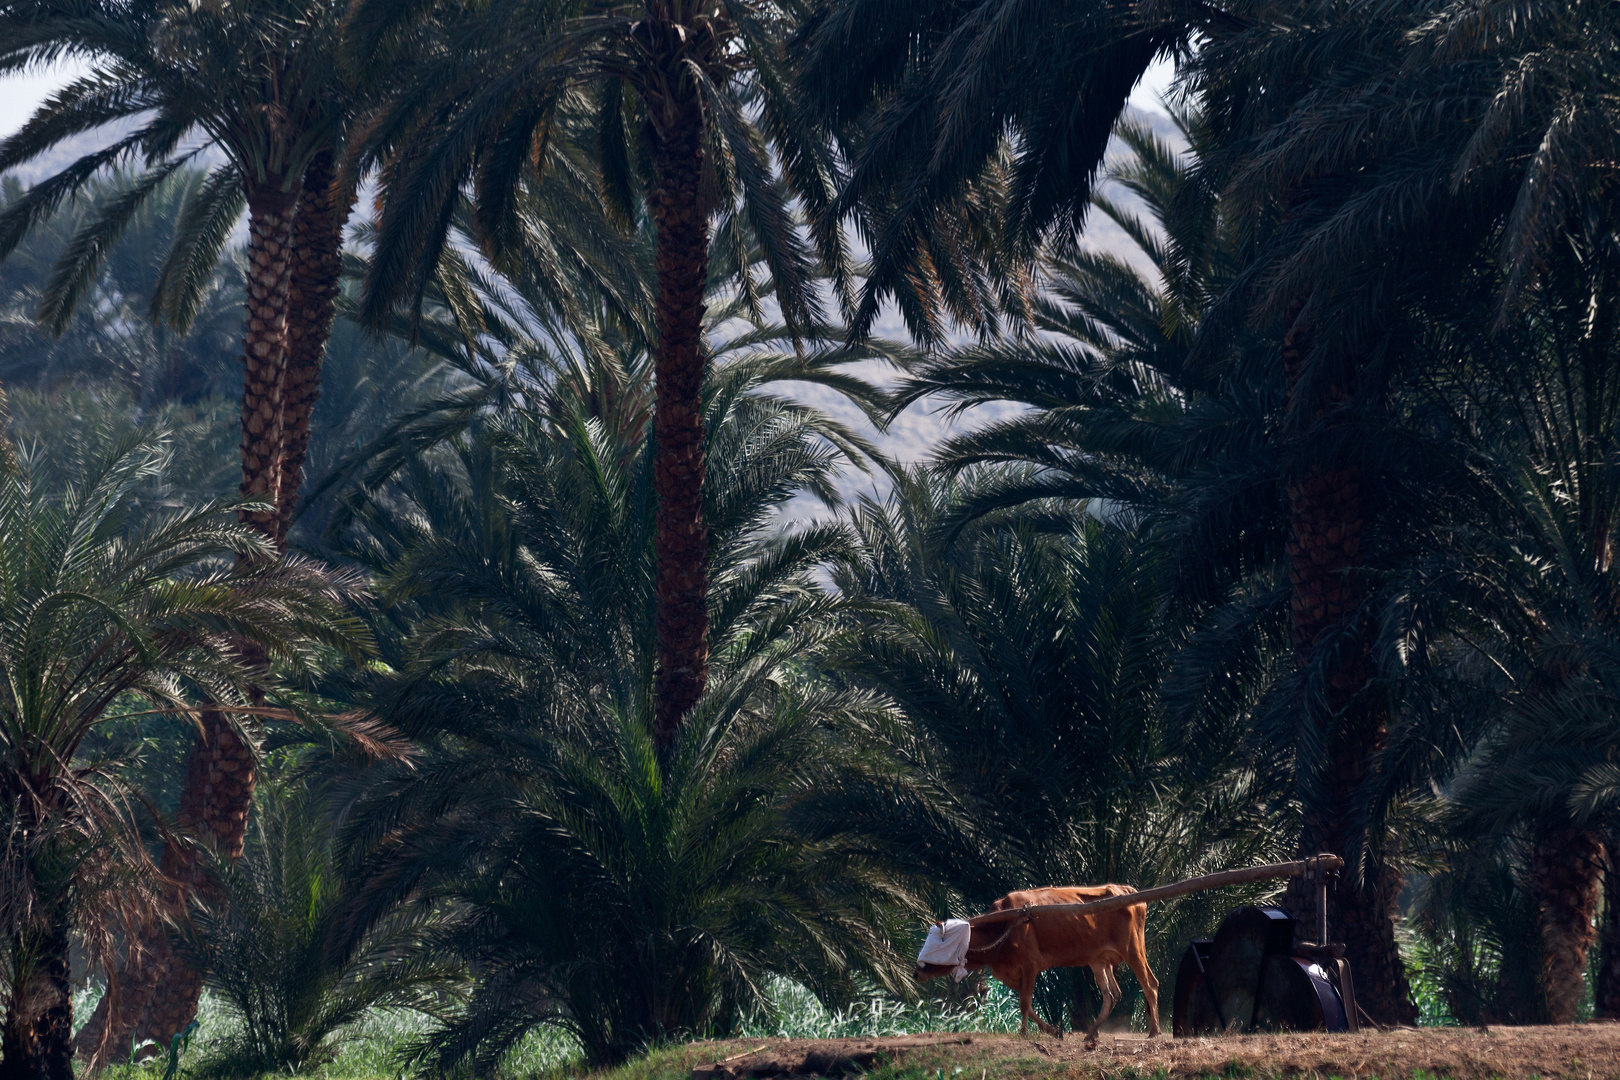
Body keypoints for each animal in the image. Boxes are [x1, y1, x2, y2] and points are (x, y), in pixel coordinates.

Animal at [920, 887, 1159, 1036]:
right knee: (1112, 993)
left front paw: (1024, 1032)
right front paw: (1053, 1030)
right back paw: (1092, 1033)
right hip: (1099, 960)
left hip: (1133, 949)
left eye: (937, 941)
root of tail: (1126, 890)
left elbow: (1025, 1002)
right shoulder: (1013, 974)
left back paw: (1154, 1031)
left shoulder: (1030, 965)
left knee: (1150, 984)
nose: (916, 972)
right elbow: (1028, 1003)